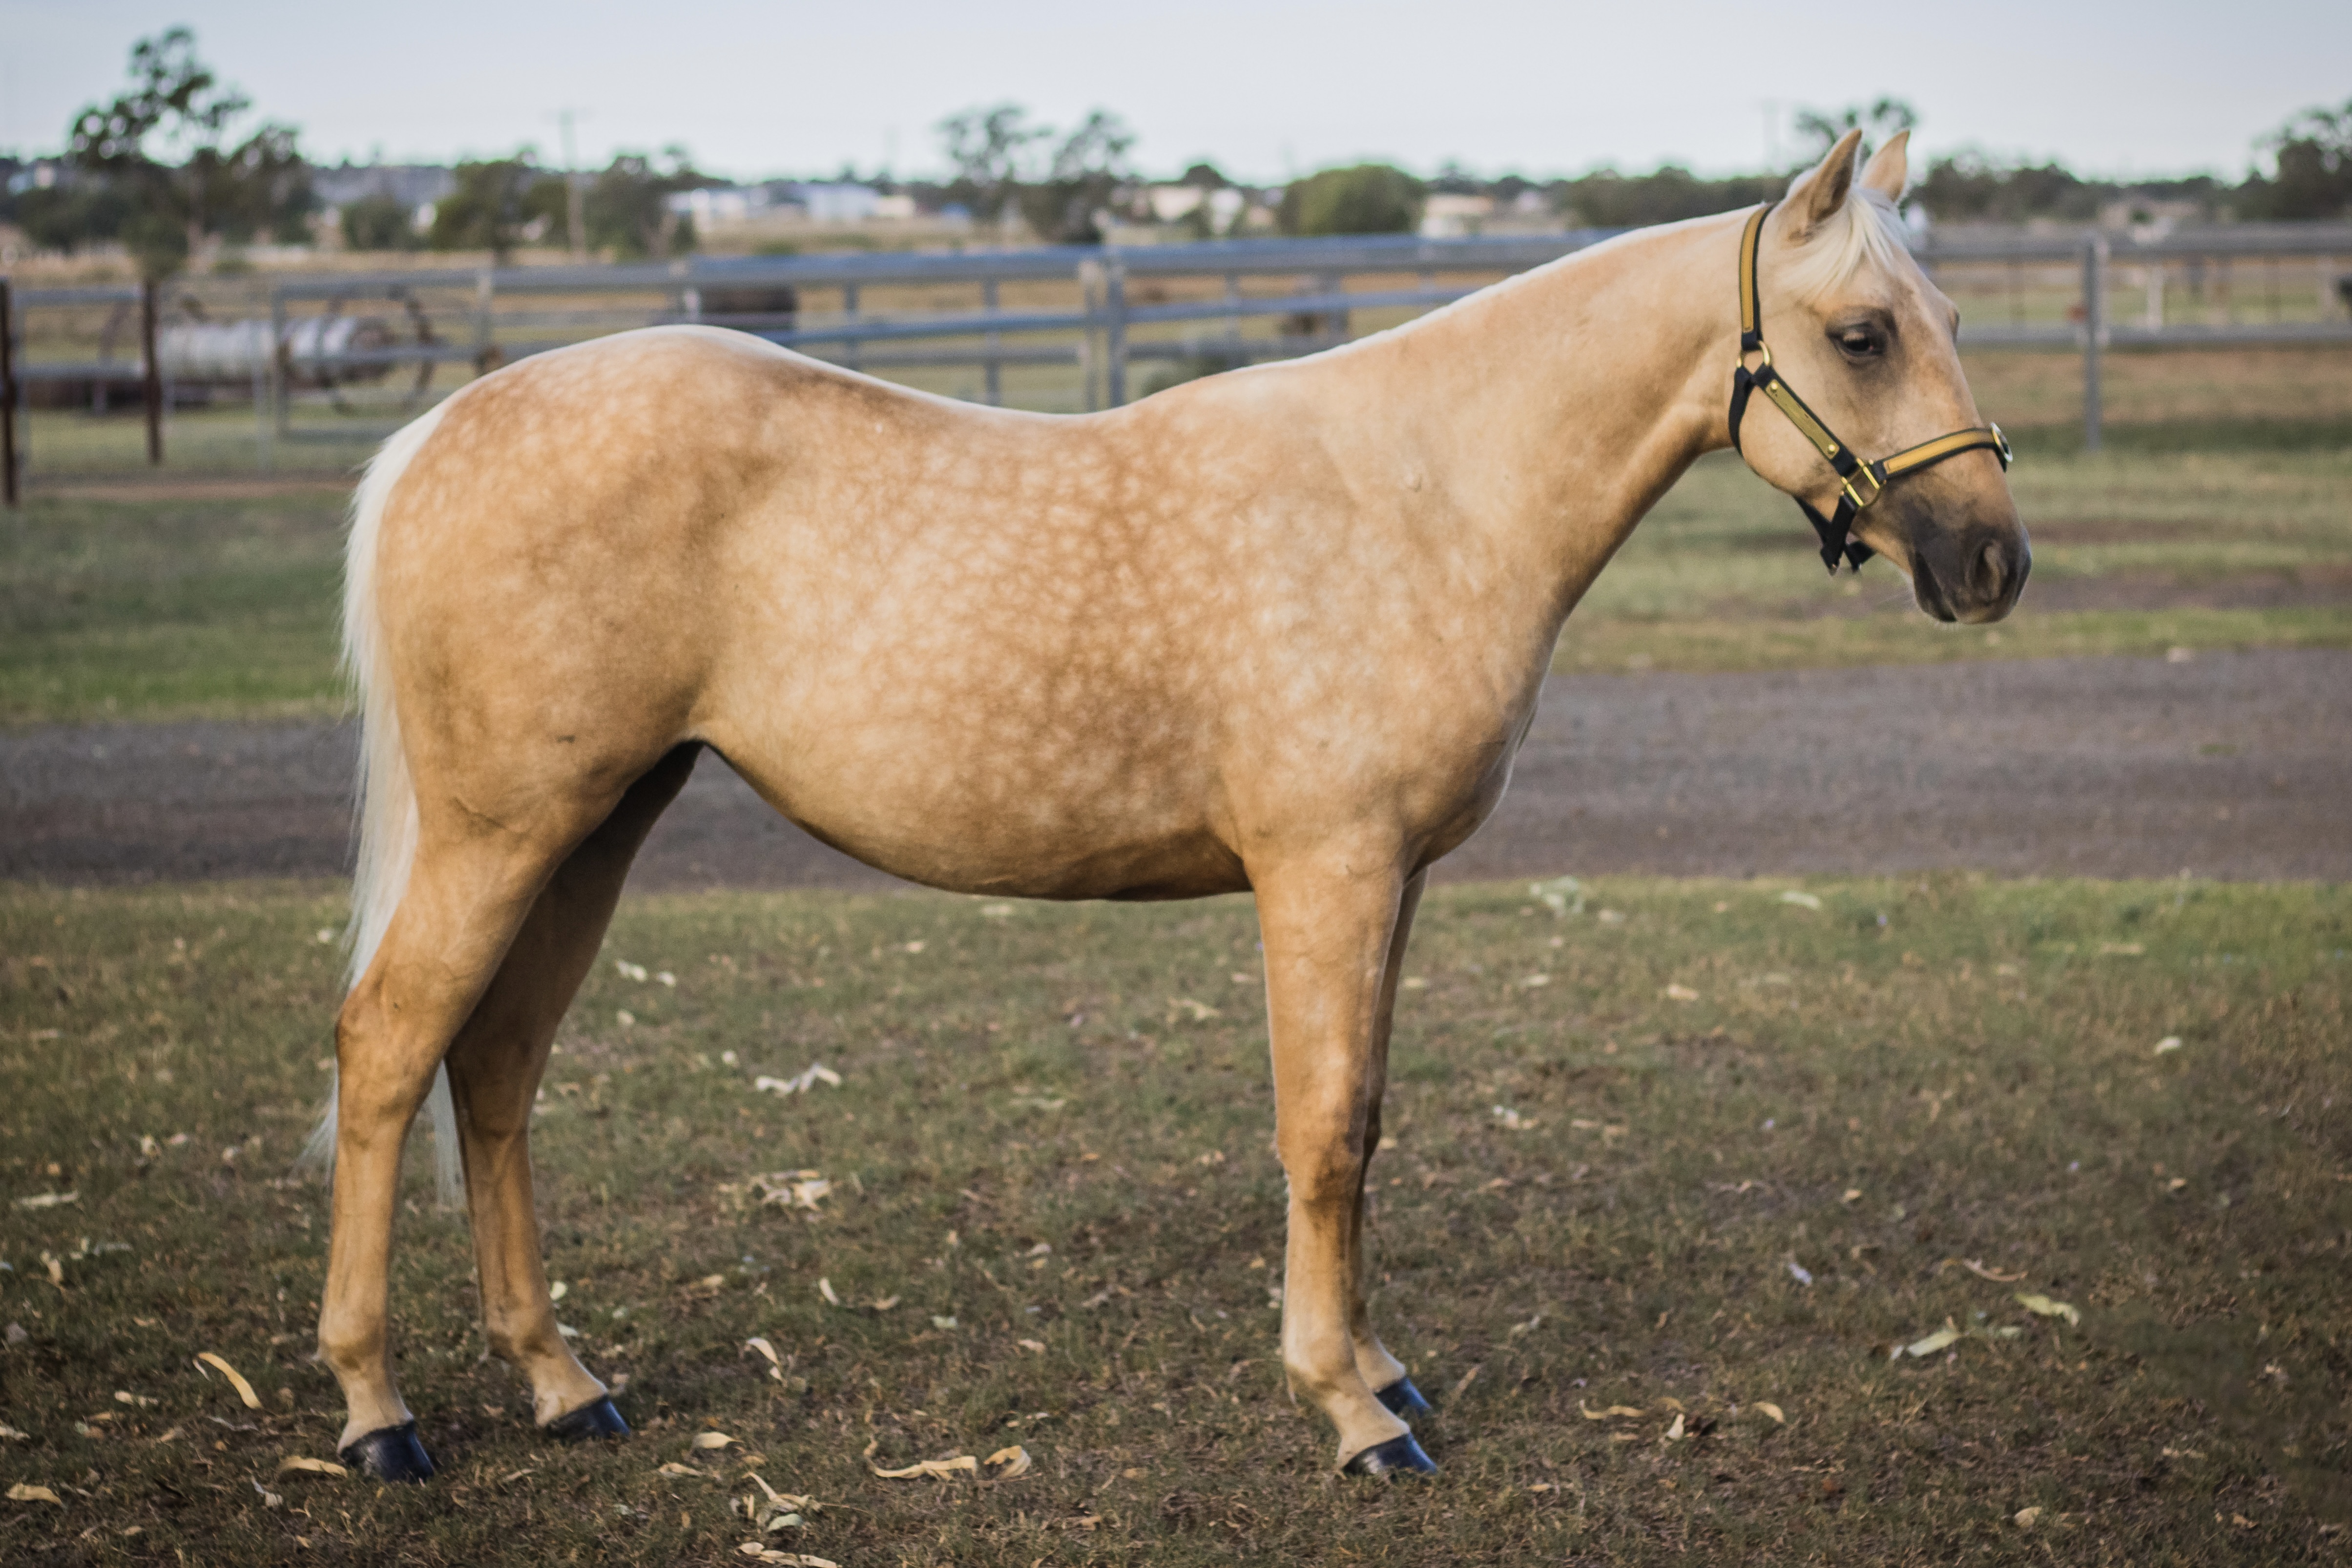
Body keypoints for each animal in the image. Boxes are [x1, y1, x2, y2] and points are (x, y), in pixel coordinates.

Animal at [306, 128, 2027, 1483]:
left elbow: (1368, 1121)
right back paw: (380, 1412)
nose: (1992, 562)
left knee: (498, 1067)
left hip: (597, 822)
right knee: (391, 1049)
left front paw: (1381, 1366)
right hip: (507, 829)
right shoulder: (1325, 870)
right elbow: (1321, 1129)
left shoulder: (1390, 879)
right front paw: (1350, 1410)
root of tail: (444, 425)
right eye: (1862, 334)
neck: (1424, 492)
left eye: (1947, 315)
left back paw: (561, 1383)